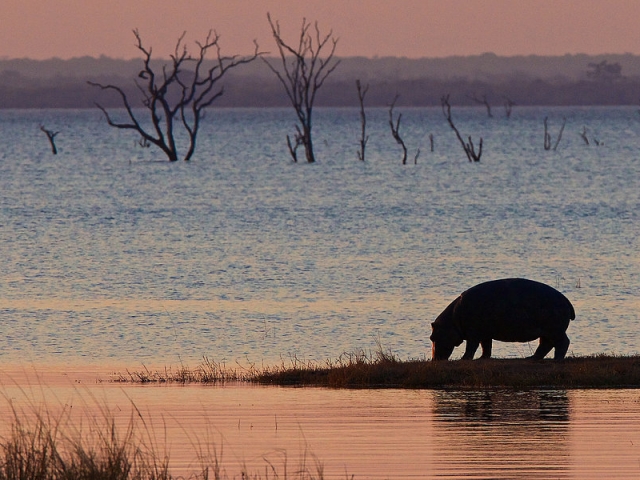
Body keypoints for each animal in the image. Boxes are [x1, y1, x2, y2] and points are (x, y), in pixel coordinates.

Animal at [430, 278, 576, 360]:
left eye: (432, 337)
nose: (434, 360)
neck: (452, 320)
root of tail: (566, 300)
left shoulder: (473, 333)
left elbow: (471, 347)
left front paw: (464, 359)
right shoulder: (485, 333)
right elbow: (486, 346)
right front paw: (482, 358)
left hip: (554, 330)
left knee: (562, 342)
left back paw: (556, 359)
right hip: (547, 331)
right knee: (545, 344)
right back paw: (531, 358)